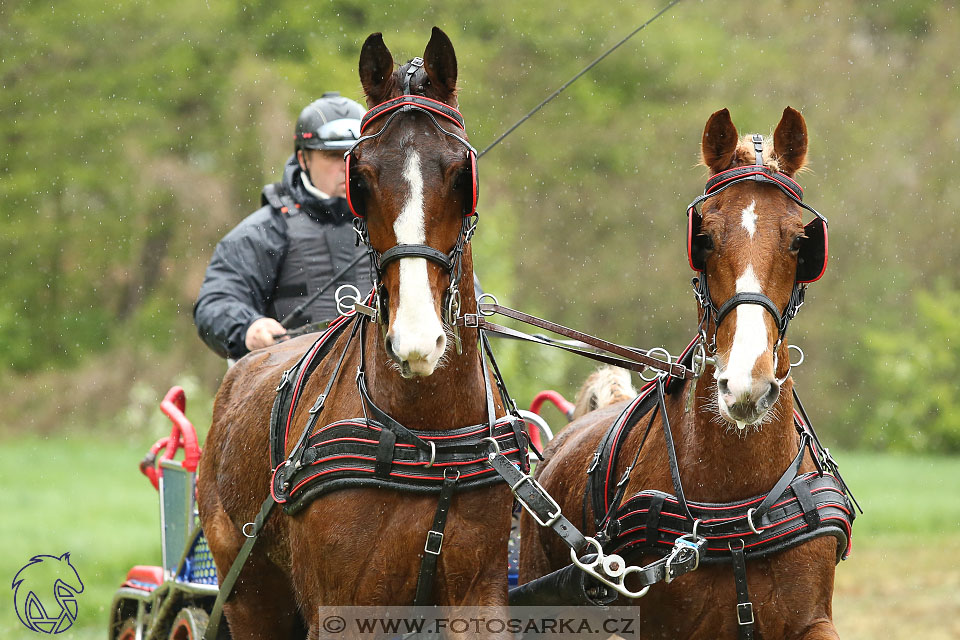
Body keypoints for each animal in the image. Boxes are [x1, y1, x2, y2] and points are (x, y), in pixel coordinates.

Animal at [199, 27, 520, 636]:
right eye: (361, 177)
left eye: (460, 173)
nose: (417, 340)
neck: (426, 435)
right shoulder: (342, 606)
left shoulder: (477, 594)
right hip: (249, 595)